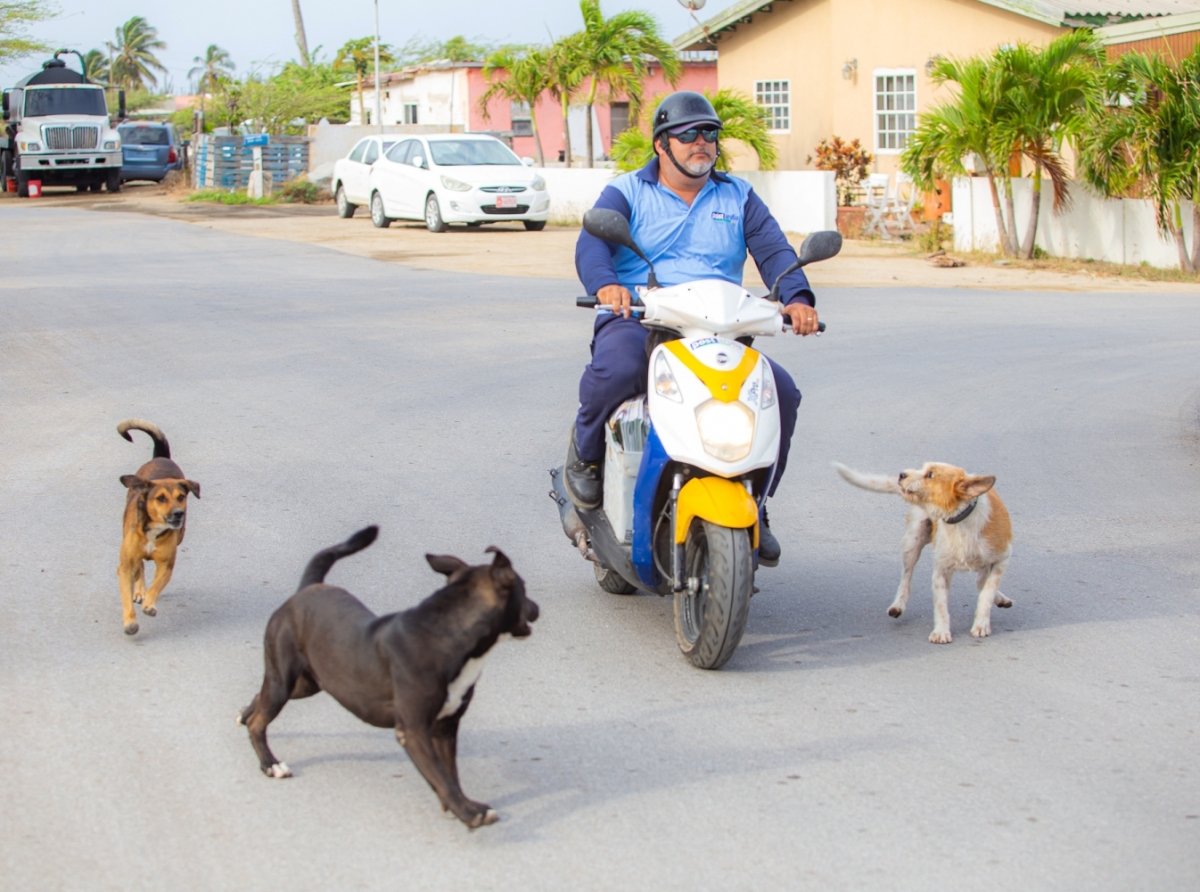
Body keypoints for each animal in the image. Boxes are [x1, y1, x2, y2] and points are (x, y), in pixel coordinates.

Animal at [115, 424, 199, 638]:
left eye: (181, 497)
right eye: (161, 498)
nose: (179, 513)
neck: (153, 530)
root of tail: (160, 457)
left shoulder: (166, 564)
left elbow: (158, 583)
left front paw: (149, 604)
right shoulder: (125, 566)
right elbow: (127, 594)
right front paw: (130, 622)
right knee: (140, 568)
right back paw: (139, 591)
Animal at [236, 525, 537, 825]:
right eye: (524, 588)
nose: (536, 607)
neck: (447, 634)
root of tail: (307, 588)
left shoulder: (445, 728)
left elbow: (449, 773)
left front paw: (456, 805)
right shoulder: (413, 731)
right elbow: (442, 776)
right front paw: (469, 812)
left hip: (309, 682)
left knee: (260, 700)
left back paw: (245, 715)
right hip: (283, 682)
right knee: (260, 721)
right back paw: (270, 763)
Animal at [835, 463, 1012, 643]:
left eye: (930, 475)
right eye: (923, 468)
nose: (901, 474)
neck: (960, 520)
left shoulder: (1002, 560)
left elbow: (987, 594)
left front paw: (981, 624)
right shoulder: (941, 570)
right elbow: (941, 604)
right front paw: (941, 631)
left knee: (980, 581)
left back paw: (1000, 599)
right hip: (912, 542)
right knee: (906, 578)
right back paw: (898, 605)